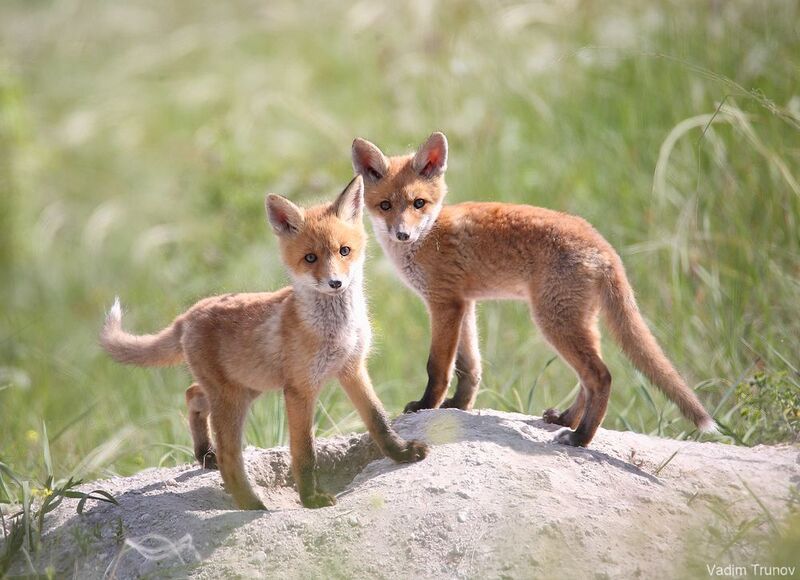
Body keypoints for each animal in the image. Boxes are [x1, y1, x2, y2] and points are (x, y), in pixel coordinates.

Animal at [100, 176, 428, 510]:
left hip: (248, 388)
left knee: (193, 394)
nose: (335, 283)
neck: (336, 330)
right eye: (310, 258)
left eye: (344, 251)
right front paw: (311, 498)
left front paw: (402, 453)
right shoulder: (299, 389)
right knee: (230, 457)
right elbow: (304, 452)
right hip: (234, 400)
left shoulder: (352, 368)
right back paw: (251, 505)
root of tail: (191, 312)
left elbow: (379, 421)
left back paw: (204, 454)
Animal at [351, 132, 717, 448]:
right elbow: (470, 368)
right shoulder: (464, 303)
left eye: (418, 203)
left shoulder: (444, 303)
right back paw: (567, 420)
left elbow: (438, 367)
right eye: (385, 205)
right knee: (588, 379)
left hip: (553, 321)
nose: (402, 234)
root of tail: (603, 244)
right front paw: (458, 406)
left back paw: (580, 437)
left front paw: (427, 405)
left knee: (601, 376)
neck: (429, 237)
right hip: (578, 321)